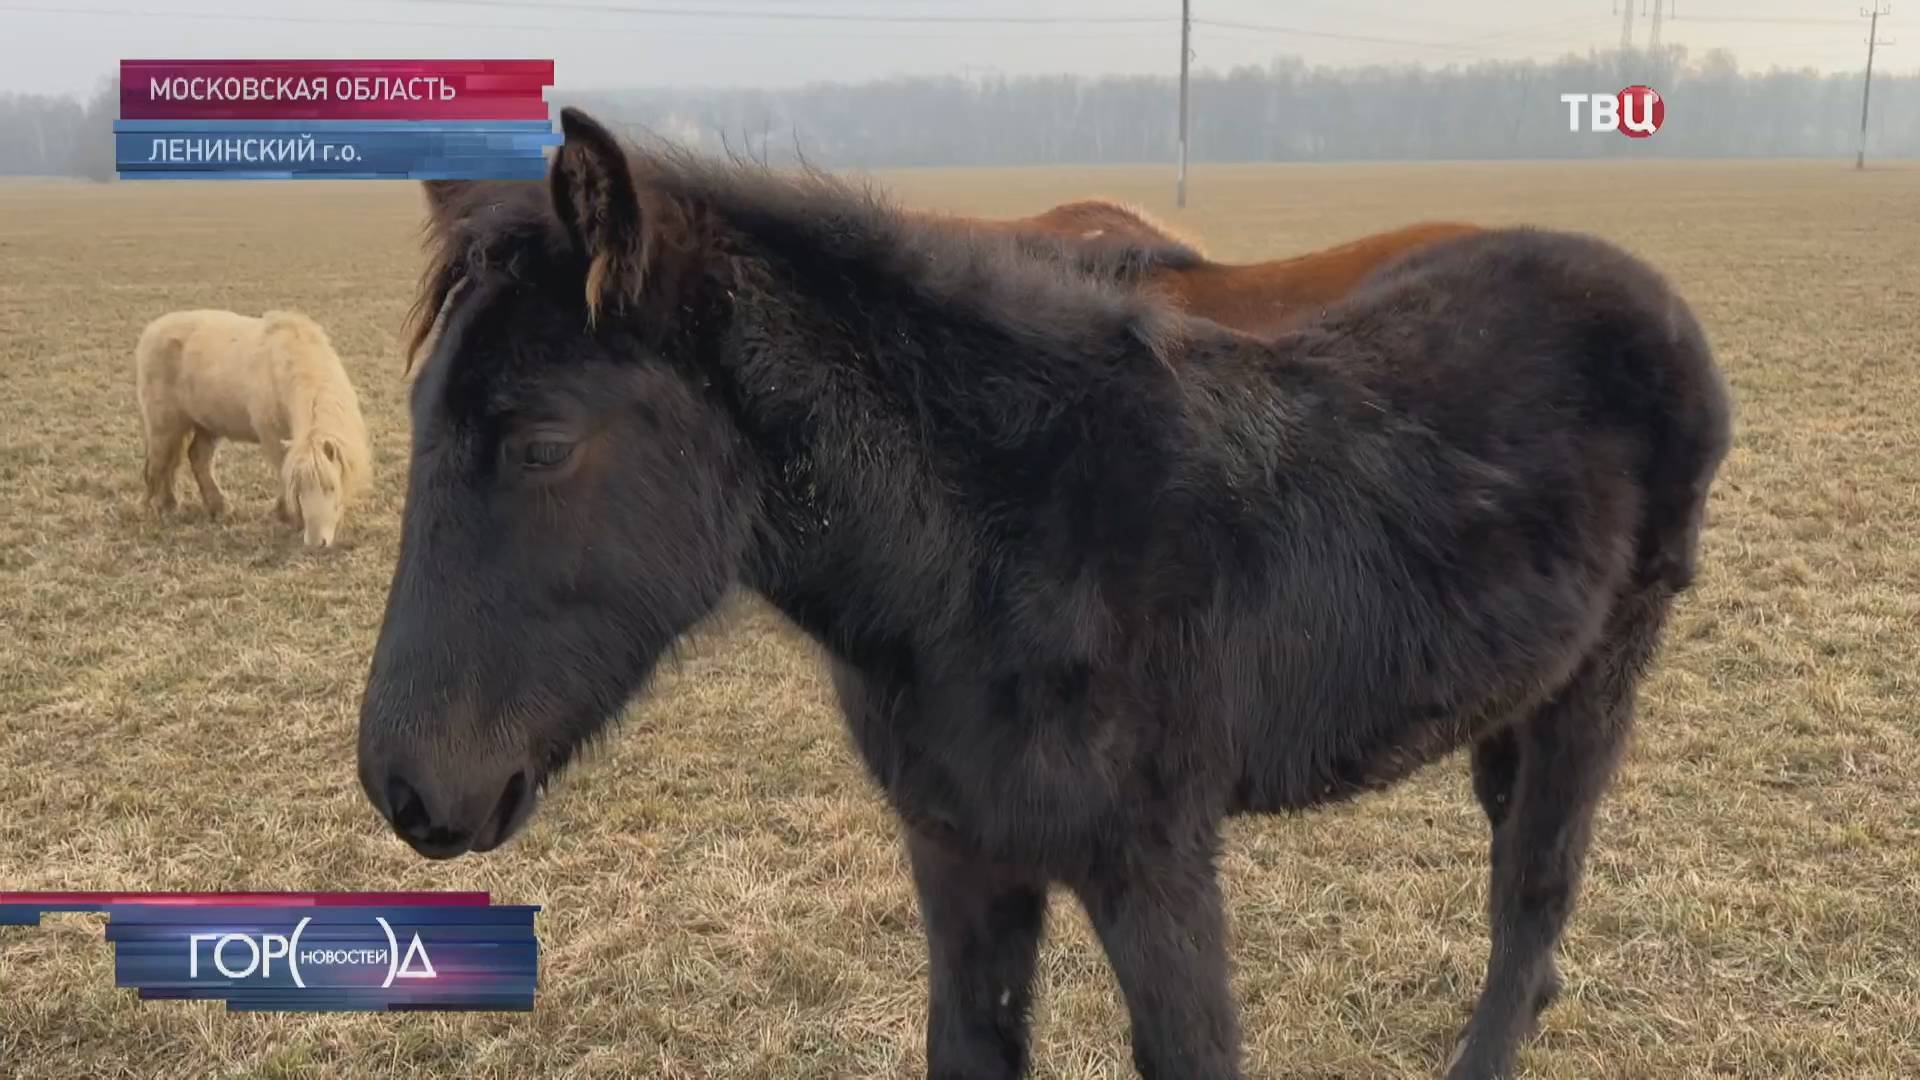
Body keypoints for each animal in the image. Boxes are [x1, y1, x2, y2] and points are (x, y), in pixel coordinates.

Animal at [134, 309, 370, 545]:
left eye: (332, 487)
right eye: (299, 490)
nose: (315, 542)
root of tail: (152, 330)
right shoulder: (272, 437)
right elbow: (282, 471)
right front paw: (287, 515)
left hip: (206, 425)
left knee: (197, 458)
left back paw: (218, 507)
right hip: (165, 425)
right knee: (159, 464)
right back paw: (163, 507)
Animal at [353, 111, 1735, 1076]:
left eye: (541, 443)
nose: (407, 789)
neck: (995, 553)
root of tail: (1652, 296)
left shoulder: (1153, 865)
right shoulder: (964, 858)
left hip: (1603, 680)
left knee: (1532, 897)